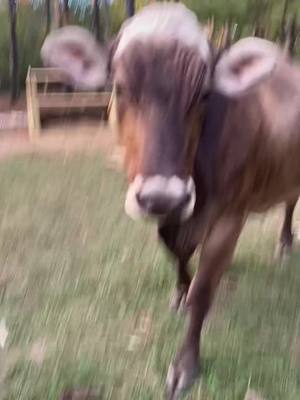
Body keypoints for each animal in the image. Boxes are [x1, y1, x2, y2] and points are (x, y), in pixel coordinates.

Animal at [41, 3, 300, 400]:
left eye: (205, 94)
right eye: (119, 87)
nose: (162, 195)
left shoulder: (231, 216)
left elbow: (204, 291)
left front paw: (185, 364)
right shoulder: (170, 212)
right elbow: (175, 249)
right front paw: (180, 291)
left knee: (290, 203)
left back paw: (285, 243)